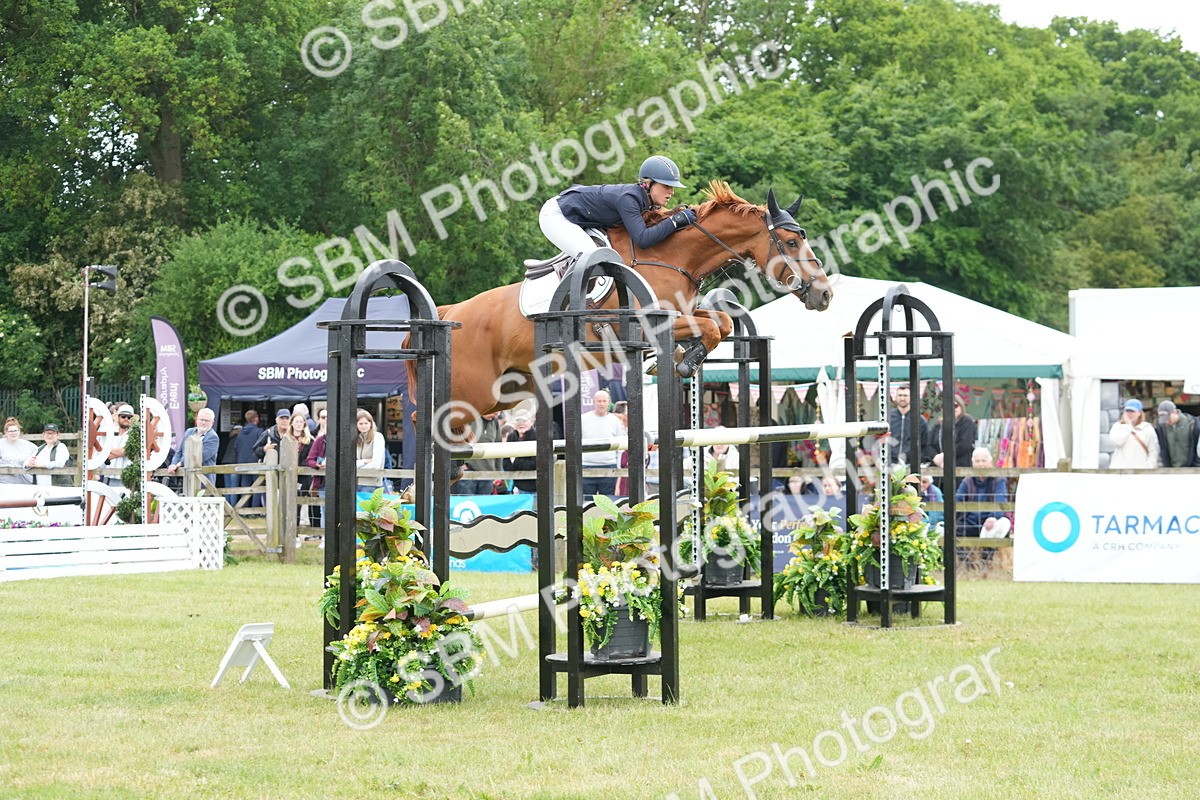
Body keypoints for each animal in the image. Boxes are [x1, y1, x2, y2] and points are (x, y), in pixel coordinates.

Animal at [420, 180, 833, 430]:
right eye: (791, 243)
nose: (825, 294)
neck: (670, 257)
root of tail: (453, 312)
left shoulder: (684, 314)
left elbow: (720, 324)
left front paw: (684, 358)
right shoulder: (648, 323)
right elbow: (712, 326)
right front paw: (682, 361)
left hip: (506, 392)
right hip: (473, 393)